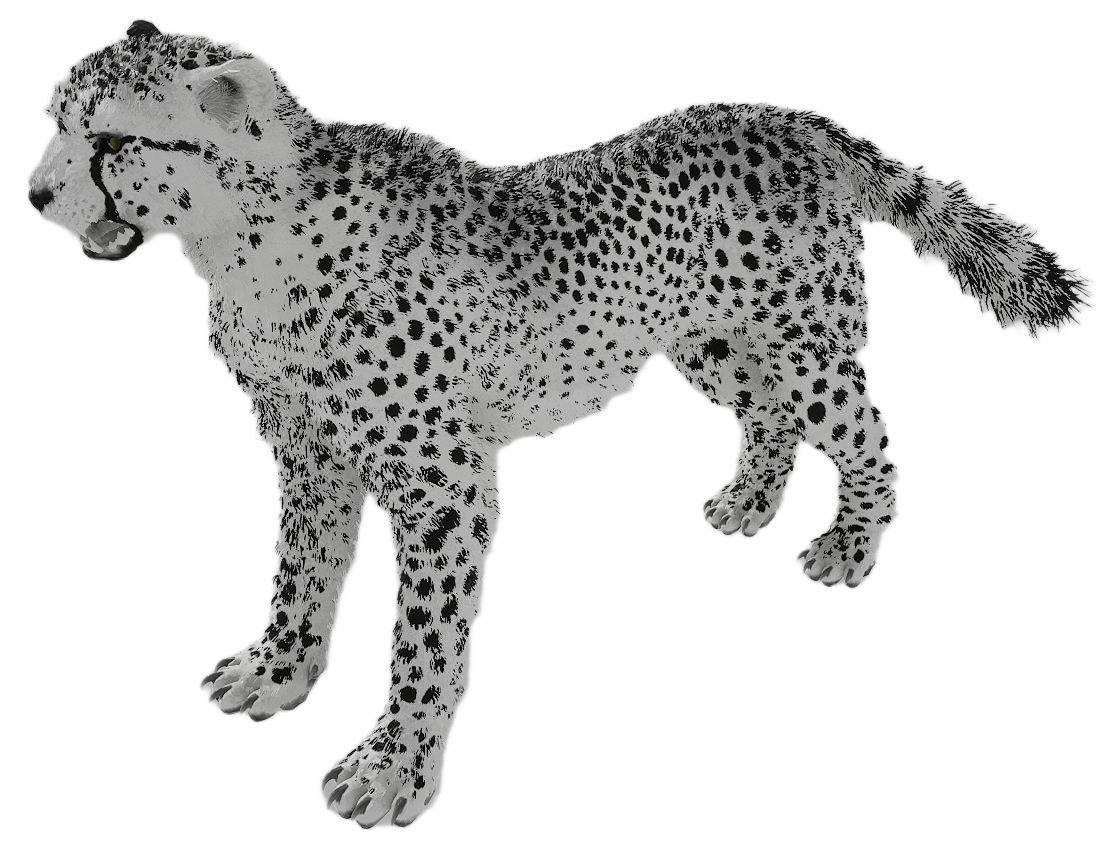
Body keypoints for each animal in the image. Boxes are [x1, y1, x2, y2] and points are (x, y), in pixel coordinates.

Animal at [26, 18, 1096, 830]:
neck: (243, 242)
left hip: (804, 343)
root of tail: (787, 114)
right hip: (709, 344)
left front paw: (391, 770)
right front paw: (276, 671)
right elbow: (300, 571)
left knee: (868, 432)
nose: (35, 193)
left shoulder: (444, 486)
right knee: (770, 417)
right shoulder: (307, 454)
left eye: (114, 143)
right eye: (50, 127)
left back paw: (848, 545)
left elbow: (421, 637)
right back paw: (749, 503)